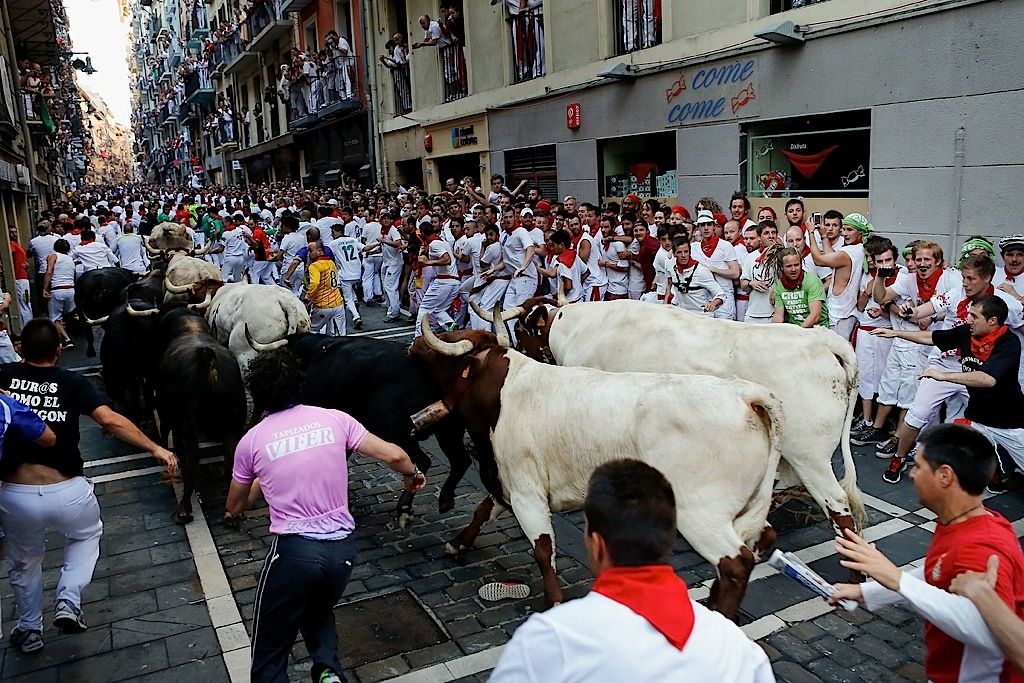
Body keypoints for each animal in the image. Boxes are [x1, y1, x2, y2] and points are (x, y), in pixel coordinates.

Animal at [154, 307, 247, 523]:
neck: (190, 326)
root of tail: (209, 360)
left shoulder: (167, 413)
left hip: (188, 426)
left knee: (191, 462)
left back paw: (184, 509)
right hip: (234, 423)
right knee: (229, 459)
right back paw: (232, 511)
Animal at [244, 331, 474, 526]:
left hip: (398, 434)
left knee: (423, 462)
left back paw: (404, 509)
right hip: (448, 431)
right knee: (461, 460)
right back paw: (444, 499)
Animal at [410, 317, 785, 619]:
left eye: (452, 339)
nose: (413, 344)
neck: (505, 390)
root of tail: (744, 393)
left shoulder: (526, 490)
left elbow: (542, 547)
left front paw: (554, 601)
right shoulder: (506, 482)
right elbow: (482, 510)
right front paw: (457, 543)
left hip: (700, 512)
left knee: (735, 564)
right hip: (743, 507)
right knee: (761, 539)